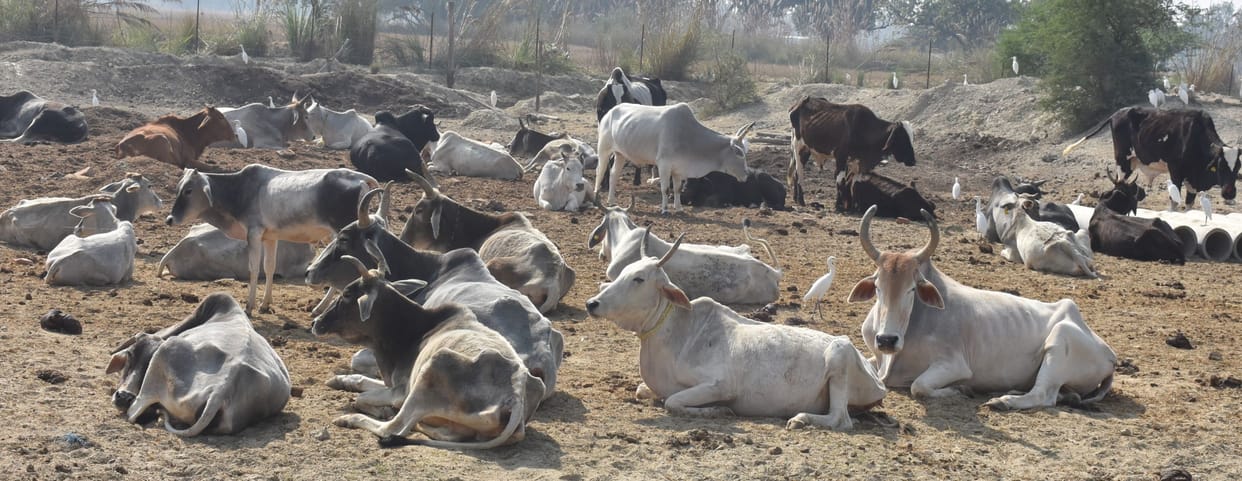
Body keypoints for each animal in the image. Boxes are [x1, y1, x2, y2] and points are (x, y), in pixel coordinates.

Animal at [313, 256, 543, 448]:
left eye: (347, 294)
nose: (316, 322)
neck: (416, 331)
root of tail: (514, 396)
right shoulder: (393, 383)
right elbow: (361, 380)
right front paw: (339, 380)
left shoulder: (401, 392)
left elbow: (362, 398)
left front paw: (381, 410)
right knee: (448, 434)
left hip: (435, 364)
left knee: (394, 428)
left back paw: (351, 420)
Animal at [584, 234, 886, 431]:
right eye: (624, 271)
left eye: (639, 279)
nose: (592, 304)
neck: (680, 332)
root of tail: (874, 375)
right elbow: (642, 391)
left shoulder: (720, 384)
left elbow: (673, 401)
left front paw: (719, 410)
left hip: (839, 356)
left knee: (841, 419)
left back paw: (801, 419)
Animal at [597, 103, 753, 214]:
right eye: (739, 154)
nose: (746, 174)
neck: (689, 136)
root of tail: (610, 111)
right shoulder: (663, 164)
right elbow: (665, 189)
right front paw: (665, 210)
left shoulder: (678, 169)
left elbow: (677, 189)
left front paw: (679, 208)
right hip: (604, 149)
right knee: (600, 171)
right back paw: (596, 197)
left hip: (620, 154)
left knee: (614, 174)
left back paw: (611, 201)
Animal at [787, 97, 917, 208]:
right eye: (902, 138)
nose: (913, 161)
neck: (864, 129)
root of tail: (799, 103)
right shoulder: (841, 156)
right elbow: (841, 180)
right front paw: (839, 206)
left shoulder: (857, 161)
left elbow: (851, 181)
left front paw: (849, 206)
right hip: (799, 146)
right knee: (799, 172)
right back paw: (801, 200)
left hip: (806, 150)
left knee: (795, 173)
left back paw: (795, 198)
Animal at [846, 205, 1117, 410]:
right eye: (878, 287)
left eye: (912, 289)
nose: (886, 340)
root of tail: (1109, 354)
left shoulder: (953, 364)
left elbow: (919, 387)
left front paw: (960, 389)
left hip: (1060, 340)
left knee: (1044, 394)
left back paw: (1004, 401)